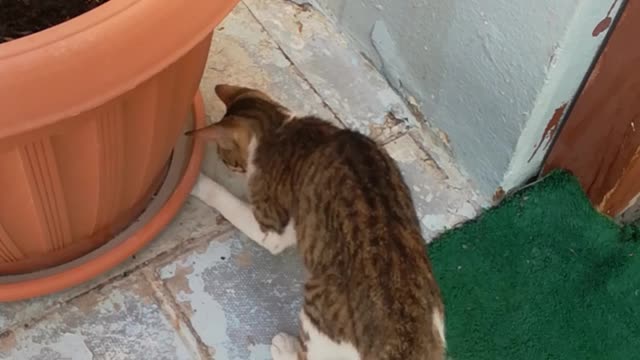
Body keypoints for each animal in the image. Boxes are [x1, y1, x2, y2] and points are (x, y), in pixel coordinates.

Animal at [188, 85, 442, 360]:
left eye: (224, 157)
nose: (228, 165)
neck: (278, 124)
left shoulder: (272, 226)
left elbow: (224, 199)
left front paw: (194, 182)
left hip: (317, 308)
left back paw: (283, 347)